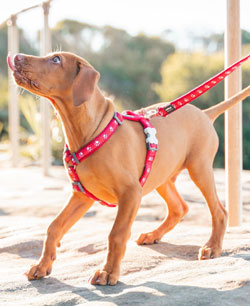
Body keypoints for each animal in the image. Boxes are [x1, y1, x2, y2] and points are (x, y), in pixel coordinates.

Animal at [7, 52, 250, 284]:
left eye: (56, 59)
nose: (15, 56)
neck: (93, 132)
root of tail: (205, 113)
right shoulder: (82, 195)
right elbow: (54, 227)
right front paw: (42, 266)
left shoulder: (131, 193)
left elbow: (116, 234)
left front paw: (108, 273)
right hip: (161, 176)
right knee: (179, 208)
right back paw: (153, 234)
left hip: (199, 168)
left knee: (219, 211)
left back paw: (212, 247)